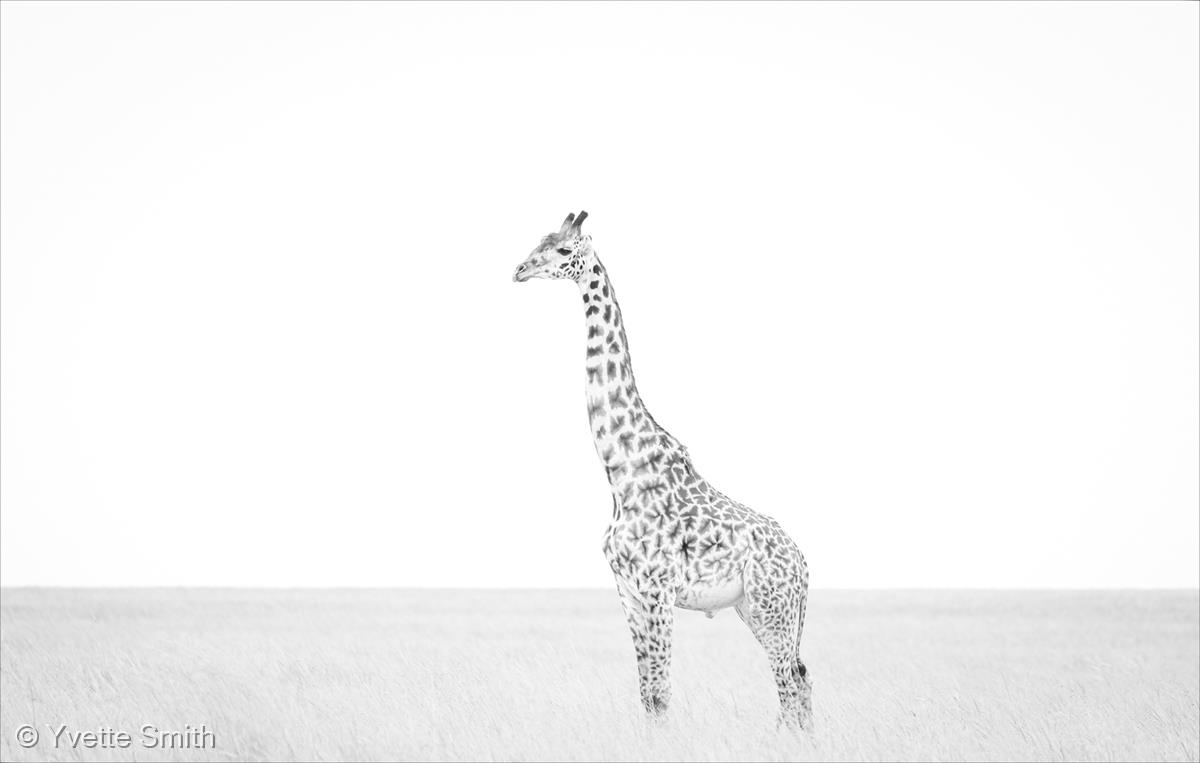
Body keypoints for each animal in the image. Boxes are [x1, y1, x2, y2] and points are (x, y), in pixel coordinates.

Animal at [513, 211, 812, 730]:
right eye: (539, 242)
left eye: (564, 250)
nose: (520, 270)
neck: (621, 473)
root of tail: (804, 563)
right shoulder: (628, 593)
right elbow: (647, 695)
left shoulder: (658, 592)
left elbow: (661, 694)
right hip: (755, 609)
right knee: (801, 681)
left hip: (773, 607)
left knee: (790, 687)